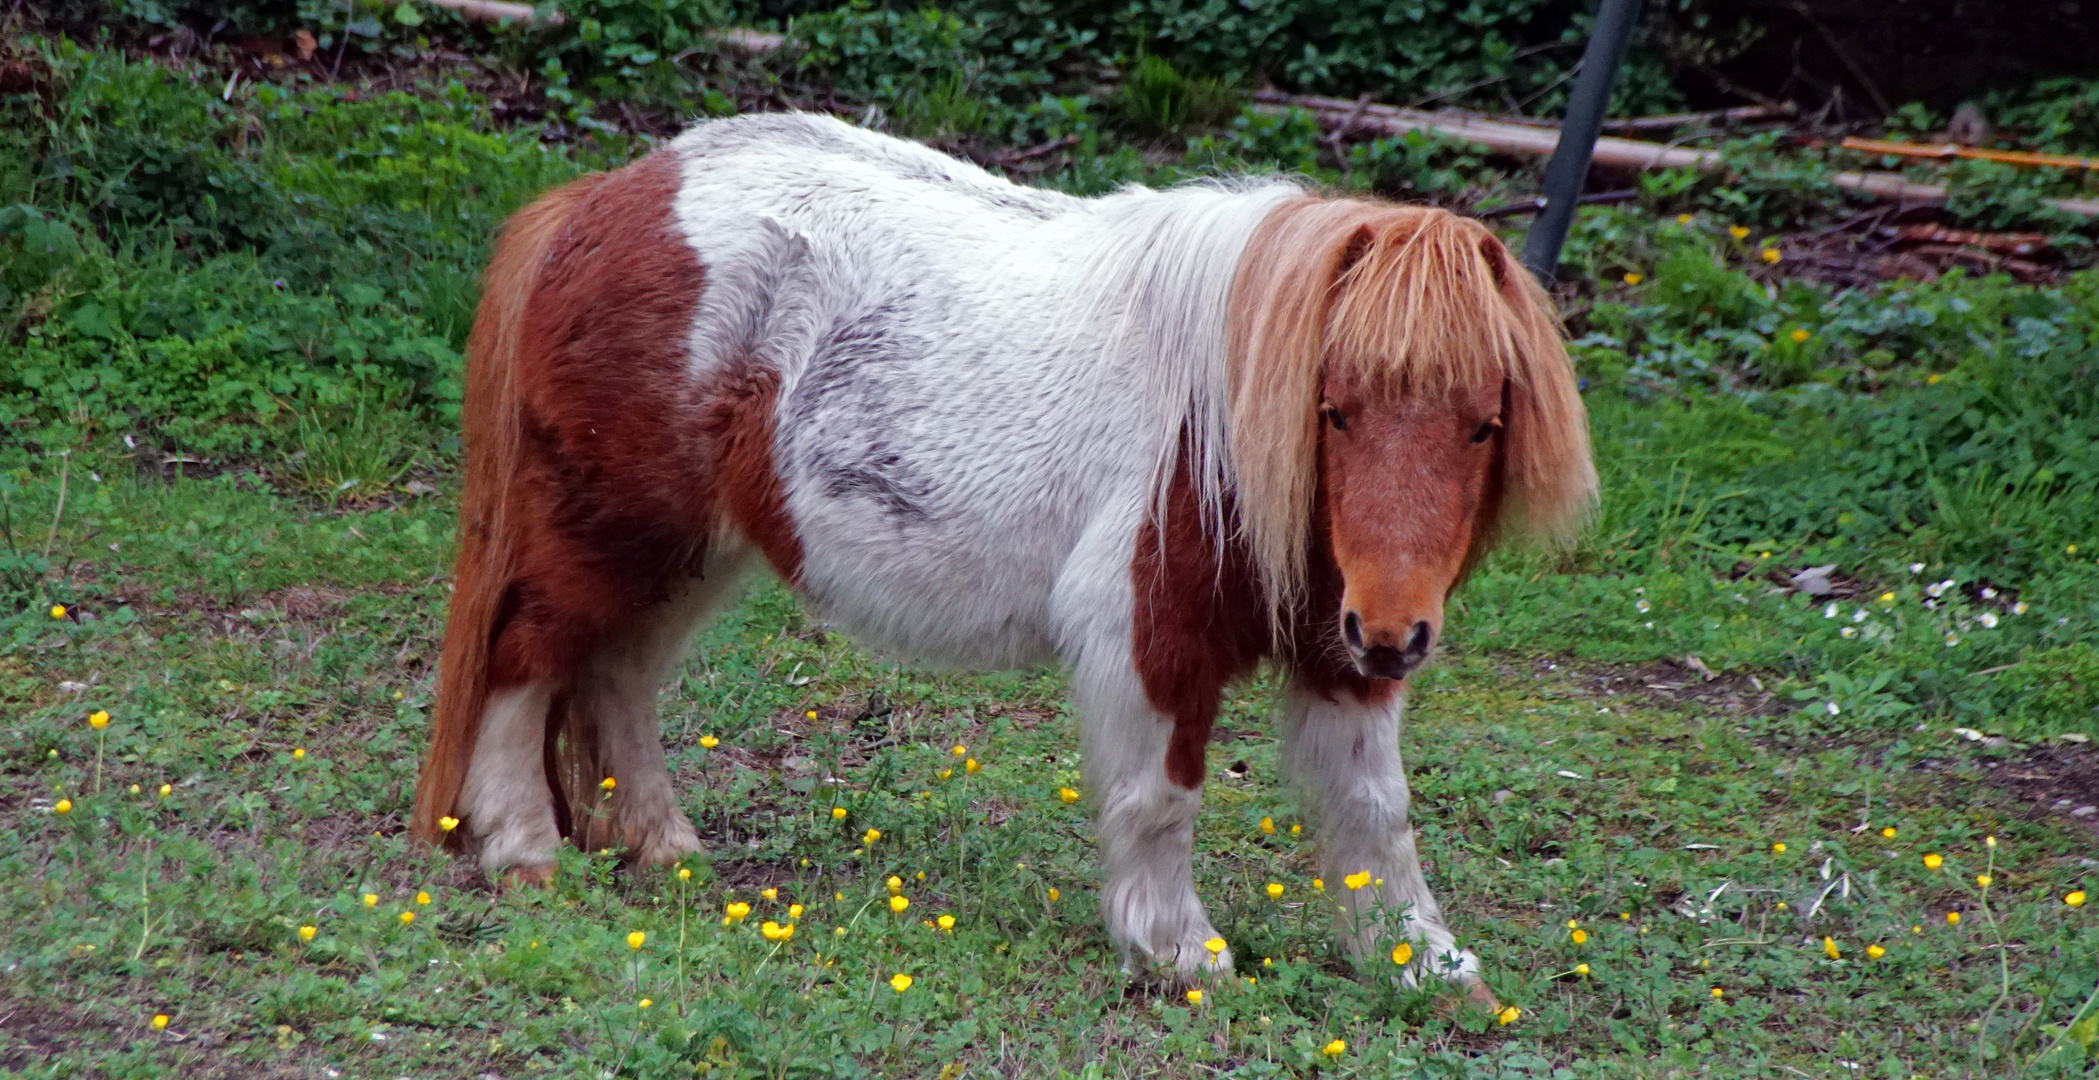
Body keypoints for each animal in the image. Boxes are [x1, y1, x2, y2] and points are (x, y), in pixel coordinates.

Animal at [405, 112, 1586, 1006]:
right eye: (1333, 411)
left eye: (1482, 424)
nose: (1394, 632)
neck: (1218, 413)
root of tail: (607, 196)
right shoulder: (1149, 630)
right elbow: (1162, 798)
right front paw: (1179, 957)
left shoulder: (1337, 653)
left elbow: (1373, 812)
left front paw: (1426, 967)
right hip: (608, 529)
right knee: (526, 658)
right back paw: (523, 852)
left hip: (688, 550)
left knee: (617, 677)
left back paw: (664, 849)